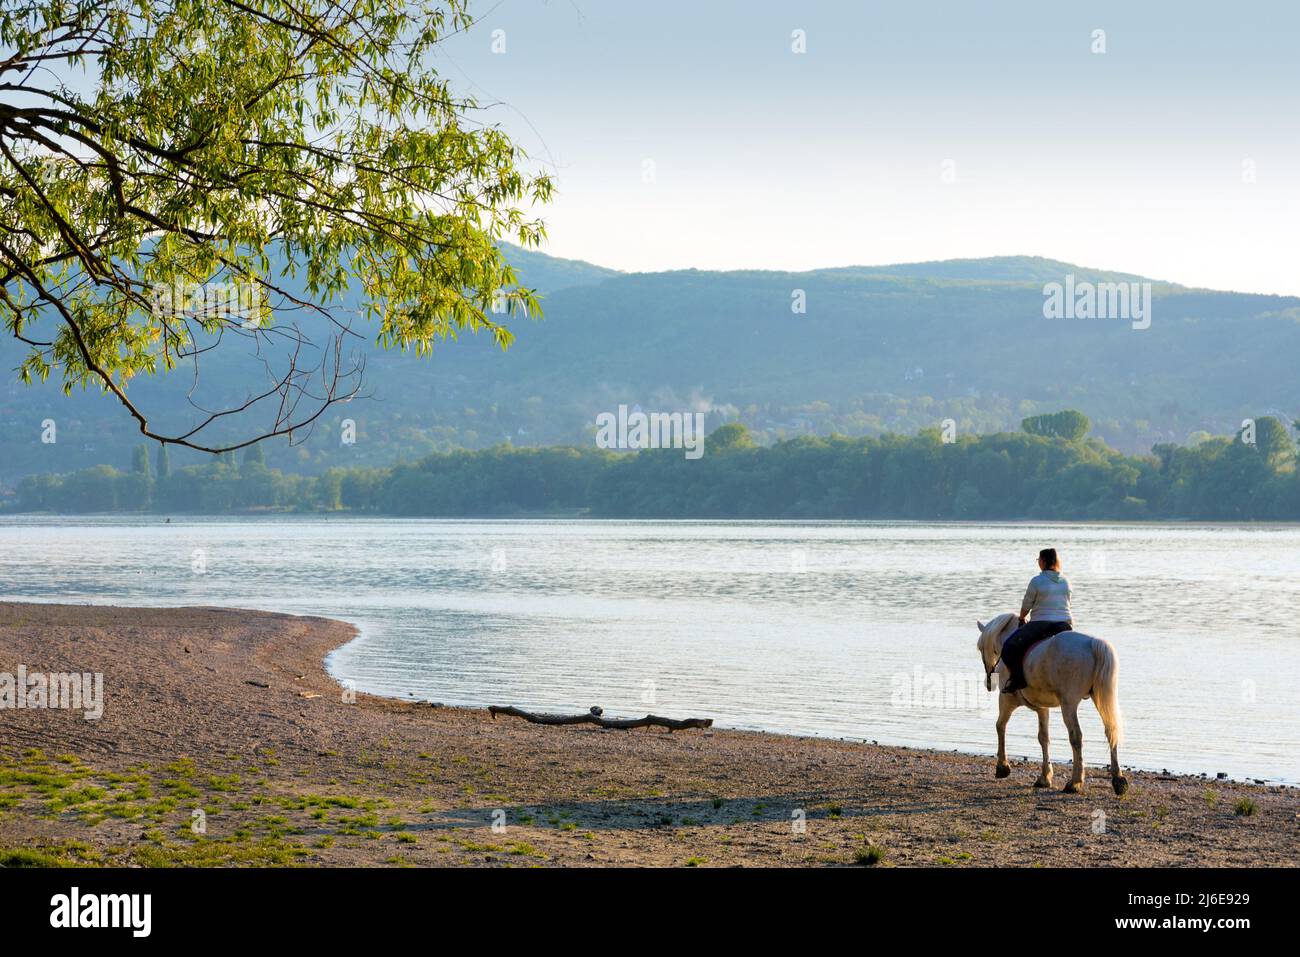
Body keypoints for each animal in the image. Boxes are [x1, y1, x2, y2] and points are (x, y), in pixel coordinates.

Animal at [975, 613, 1128, 795]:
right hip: (1099, 699)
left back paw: (1074, 782)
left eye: (980, 648)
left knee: (1076, 736)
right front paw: (1044, 777)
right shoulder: (1042, 709)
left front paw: (1003, 767)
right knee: (1111, 730)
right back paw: (1118, 780)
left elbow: (1000, 726)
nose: (989, 682)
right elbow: (1043, 737)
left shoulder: (1006, 700)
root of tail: (1093, 643)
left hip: (1069, 703)